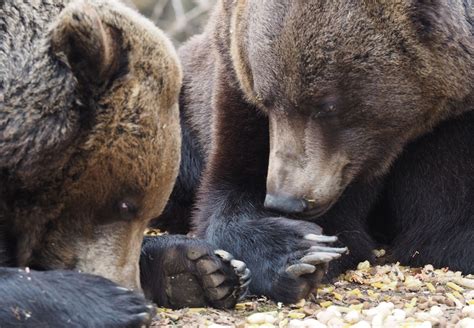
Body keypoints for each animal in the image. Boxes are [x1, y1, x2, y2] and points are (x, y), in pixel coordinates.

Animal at [155, 0, 470, 304]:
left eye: (326, 105)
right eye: (265, 98)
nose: (285, 201)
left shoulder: (452, 128)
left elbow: (442, 226)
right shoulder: (235, 90)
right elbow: (230, 192)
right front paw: (301, 251)